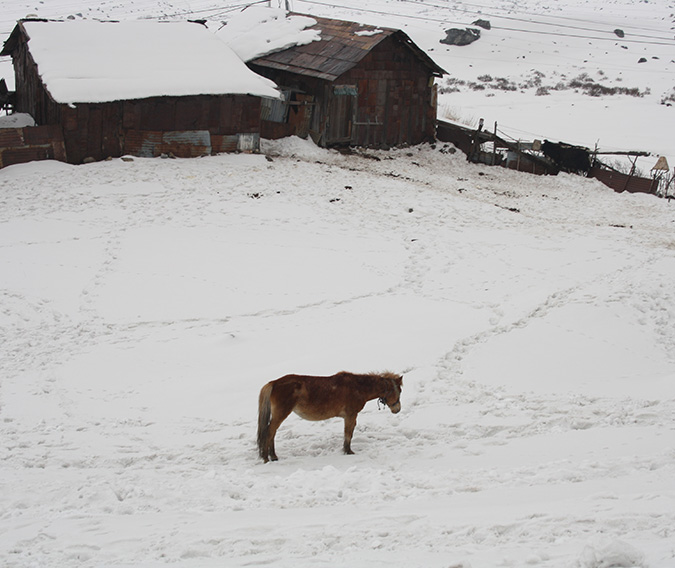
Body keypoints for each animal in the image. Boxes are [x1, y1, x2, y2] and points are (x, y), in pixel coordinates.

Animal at [258, 372, 404, 462]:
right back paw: (266, 457)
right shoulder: (351, 415)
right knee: (269, 432)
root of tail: (274, 383)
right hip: (281, 413)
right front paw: (348, 451)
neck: (358, 387)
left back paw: (273, 456)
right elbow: (348, 434)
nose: (397, 409)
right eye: (399, 391)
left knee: (272, 433)